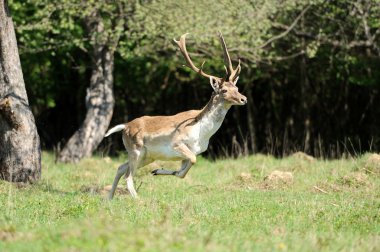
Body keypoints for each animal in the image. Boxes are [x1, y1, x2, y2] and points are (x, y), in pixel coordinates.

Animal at [104, 32, 246, 200]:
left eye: (236, 87)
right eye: (224, 90)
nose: (244, 99)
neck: (201, 132)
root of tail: (125, 126)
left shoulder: (191, 152)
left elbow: (182, 173)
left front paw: (158, 171)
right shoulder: (177, 143)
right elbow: (192, 161)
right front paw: (160, 171)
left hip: (147, 155)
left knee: (120, 168)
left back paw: (109, 199)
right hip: (135, 149)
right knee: (128, 176)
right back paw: (138, 200)